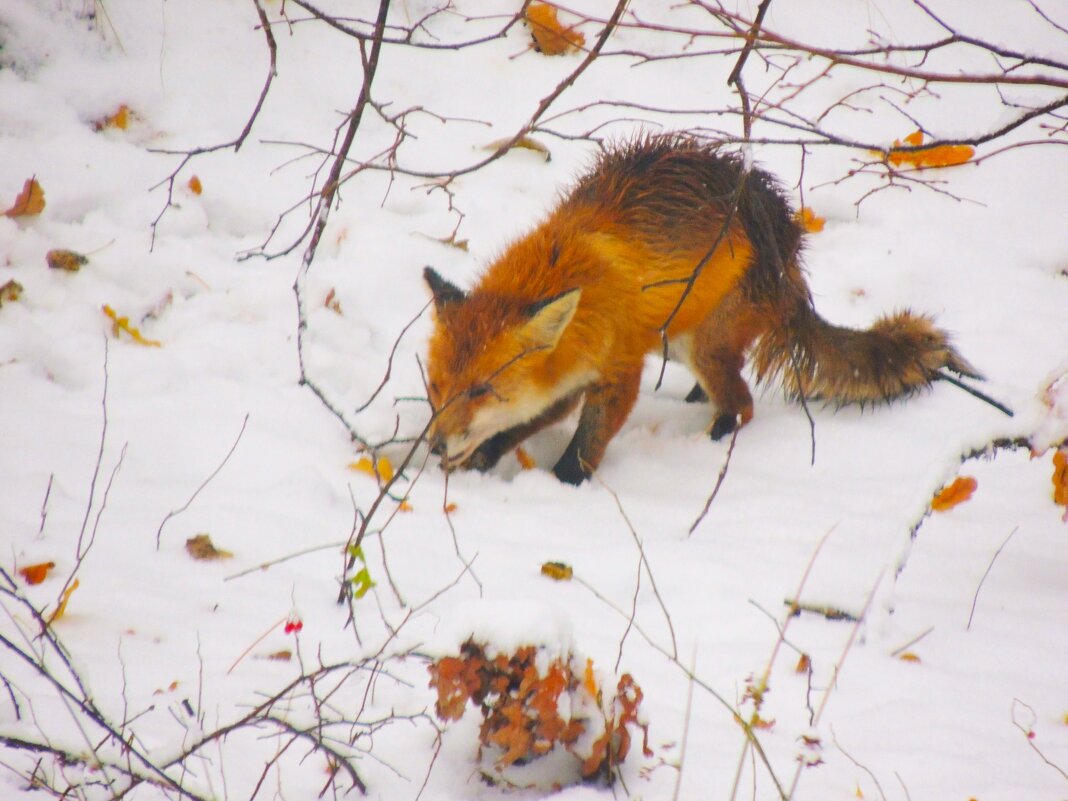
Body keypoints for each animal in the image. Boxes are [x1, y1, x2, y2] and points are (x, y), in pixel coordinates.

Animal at [420, 135, 978, 487]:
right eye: (438, 387)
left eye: (480, 390)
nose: (434, 445)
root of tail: (787, 250)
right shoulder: (565, 376)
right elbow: (522, 422)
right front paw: (480, 459)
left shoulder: (617, 369)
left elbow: (584, 446)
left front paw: (562, 487)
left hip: (701, 344)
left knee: (742, 403)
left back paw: (710, 444)